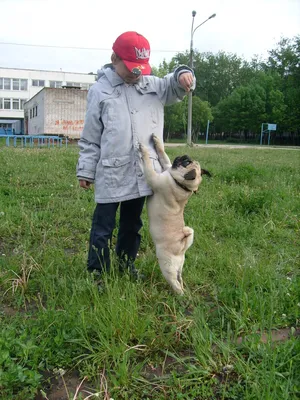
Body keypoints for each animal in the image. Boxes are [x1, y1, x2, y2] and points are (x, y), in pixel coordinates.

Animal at [139, 134, 210, 294]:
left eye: (186, 162)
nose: (183, 155)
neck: (182, 185)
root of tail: (182, 247)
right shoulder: (166, 166)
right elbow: (163, 155)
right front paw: (156, 141)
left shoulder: (153, 177)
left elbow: (147, 163)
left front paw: (143, 150)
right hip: (178, 268)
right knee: (180, 279)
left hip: (167, 267)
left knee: (175, 283)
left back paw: (180, 295)